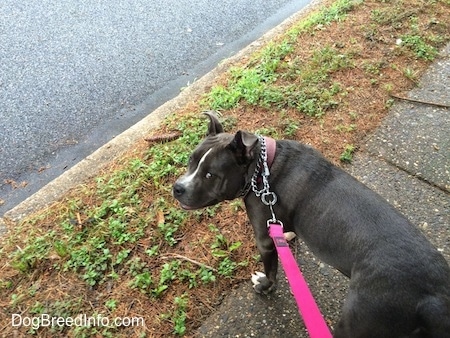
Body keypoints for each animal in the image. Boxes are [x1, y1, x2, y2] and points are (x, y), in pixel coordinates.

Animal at [173, 112, 450, 336]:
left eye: (210, 175)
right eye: (190, 161)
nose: (177, 188)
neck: (261, 168)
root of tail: (433, 297)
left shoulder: (263, 237)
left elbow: (271, 270)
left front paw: (265, 285)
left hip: (360, 319)